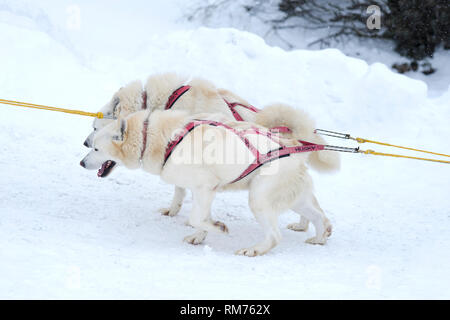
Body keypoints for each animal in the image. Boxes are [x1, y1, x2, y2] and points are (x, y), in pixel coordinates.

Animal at [80, 111, 334, 256]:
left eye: (96, 149)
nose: (81, 163)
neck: (160, 138)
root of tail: (295, 147)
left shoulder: (204, 187)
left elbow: (196, 218)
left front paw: (218, 228)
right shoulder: (203, 191)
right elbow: (201, 218)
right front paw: (201, 235)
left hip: (259, 199)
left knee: (275, 236)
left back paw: (254, 250)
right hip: (294, 199)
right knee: (320, 217)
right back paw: (320, 237)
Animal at [82, 73, 340, 231]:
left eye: (95, 128)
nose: (85, 143)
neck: (168, 100)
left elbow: (182, 189)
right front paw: (176, 211)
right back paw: (303, 226)